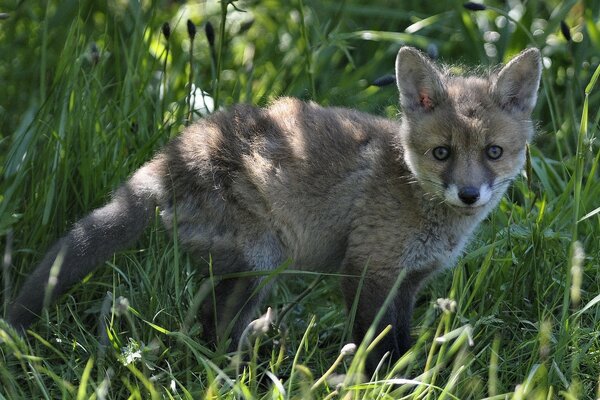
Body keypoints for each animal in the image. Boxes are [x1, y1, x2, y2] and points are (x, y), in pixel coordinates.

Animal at [4, 47, 540, 372]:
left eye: (493, 152)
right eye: (442, 153)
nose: (469, 194)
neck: (410, 186)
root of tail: (172, 157)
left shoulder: (408, 281)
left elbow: (399, 339)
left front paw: (407, 377)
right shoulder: (366, 269)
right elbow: (376, 344)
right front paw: (382, 382)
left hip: (253, 270)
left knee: (217, 324)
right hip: (264, 259)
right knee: (216, 327)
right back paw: (243, 375)